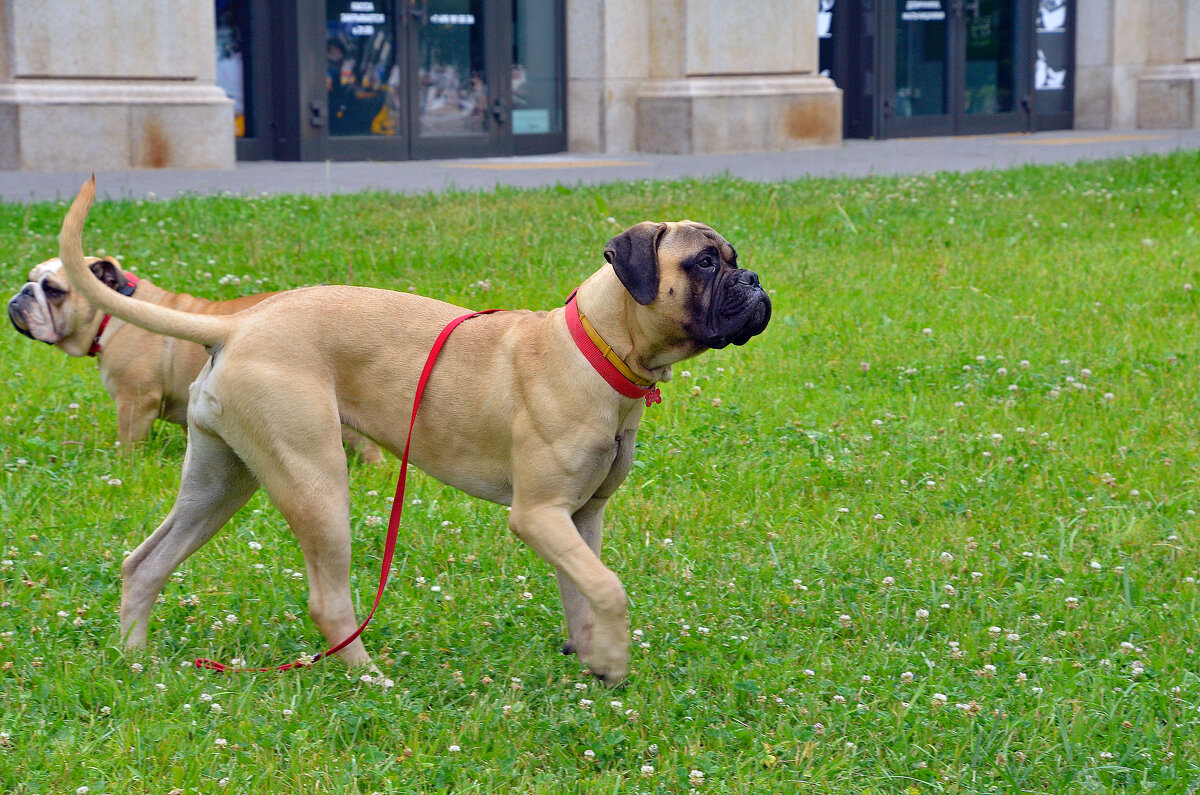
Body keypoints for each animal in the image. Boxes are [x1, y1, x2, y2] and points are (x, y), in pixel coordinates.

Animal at [8, 256, 379, 468]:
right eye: (29, 279)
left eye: (53, 290)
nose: (22, 293)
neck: (113, 313)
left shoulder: (134, 402)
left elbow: (129, 442)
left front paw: (125, 466)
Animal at [58, 178, 768, 686]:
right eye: (706, 262)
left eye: (730, 259)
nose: (755, 281)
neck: (597, 347)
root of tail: (238, 324)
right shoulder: (539, 515)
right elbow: (609, 587)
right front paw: (615, 660)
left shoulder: (580, 518)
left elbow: (584, 590)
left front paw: (593, 659)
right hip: (316, 483)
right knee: (329, 602)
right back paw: (371, 679)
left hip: (220, 483)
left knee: (144, 564)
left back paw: (136, 661)